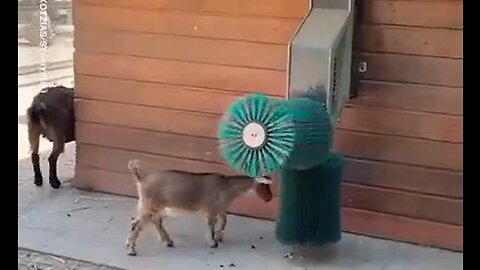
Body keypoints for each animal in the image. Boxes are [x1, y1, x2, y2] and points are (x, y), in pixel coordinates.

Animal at [125, 159, 272, 256]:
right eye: (263, 184)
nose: (269, 198)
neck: (227, 188)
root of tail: (142, 179)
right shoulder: (211, 208)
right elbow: (211, 224)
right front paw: (213, 242)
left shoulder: (221, 208)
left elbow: (224, 221)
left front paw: (219, 237)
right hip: (150, 205)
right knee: (137, 224)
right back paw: (131, 250)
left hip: (156, 206)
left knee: (153, 221)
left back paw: (168, 241)